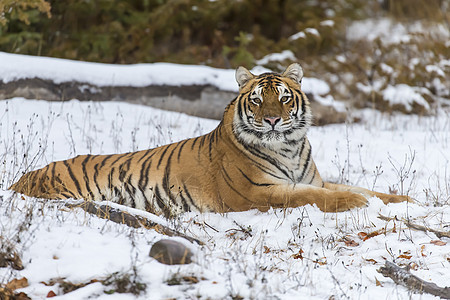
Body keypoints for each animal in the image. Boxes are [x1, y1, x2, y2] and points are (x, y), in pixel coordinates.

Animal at [7, 63, 412, 218]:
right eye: (256, 100)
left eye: (284, 98)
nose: (272, 120)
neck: (289, 146)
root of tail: (20, 179)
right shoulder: (257, 193)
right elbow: (313, 197)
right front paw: (355, 202)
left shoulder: (314, 178)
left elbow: (367, 188)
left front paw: (406, 201)